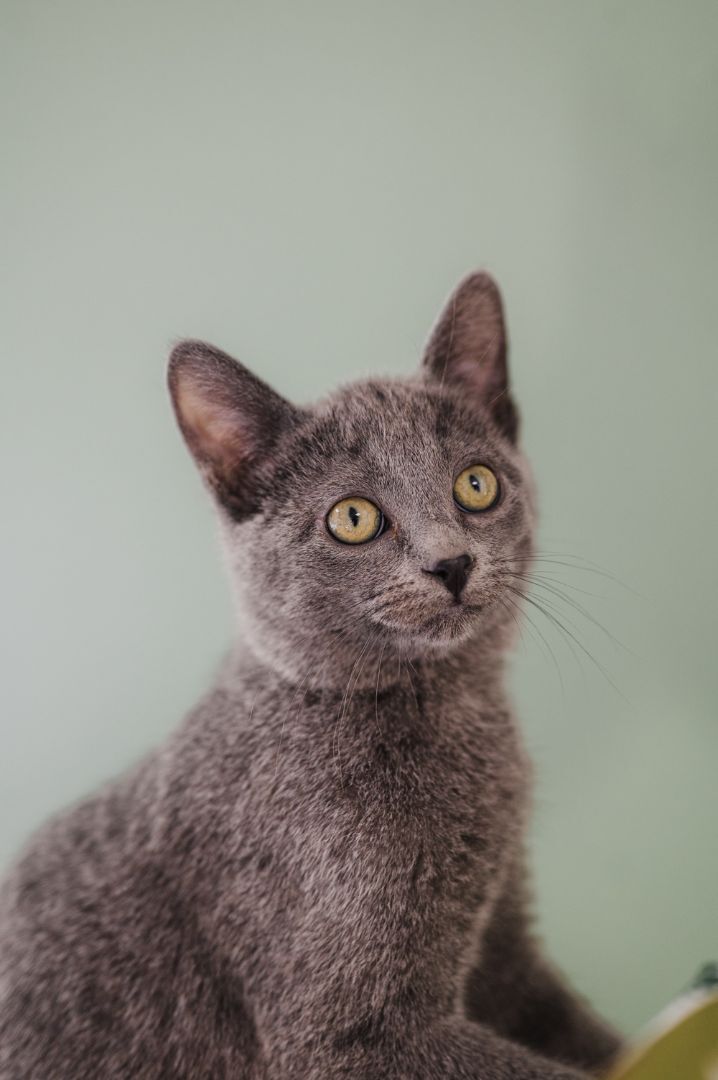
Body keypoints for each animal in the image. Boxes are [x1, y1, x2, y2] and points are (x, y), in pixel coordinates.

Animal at [0, 272, 621, 1080]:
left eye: (476, 485)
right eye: (353, 519)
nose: (452, 562)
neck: (454, 710)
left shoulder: (506, 947)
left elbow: (593, 1038)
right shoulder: (354, 1036)